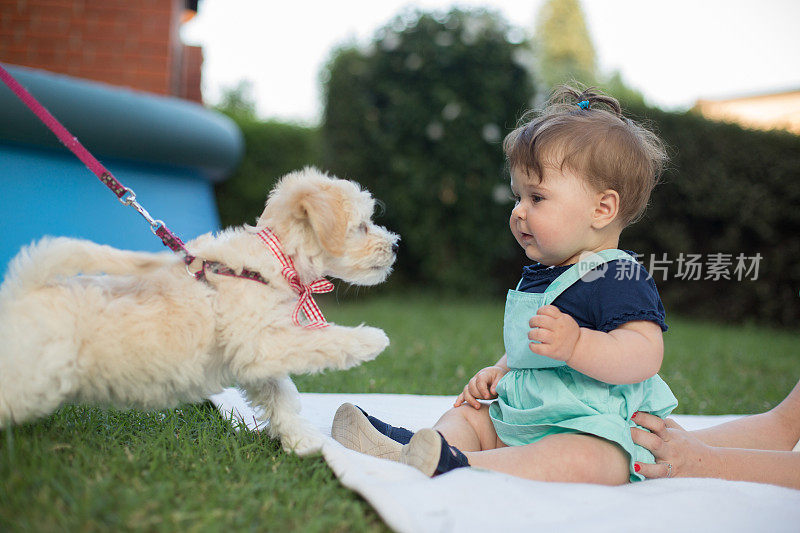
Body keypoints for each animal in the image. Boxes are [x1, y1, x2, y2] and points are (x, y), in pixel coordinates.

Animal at [0, 166, 398, 454]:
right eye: (362, 226)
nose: (396, 246)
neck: (275, 260)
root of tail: (21, 290)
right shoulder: (262, 344)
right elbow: (318, 342)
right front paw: (371, 339)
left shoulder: (254, 358)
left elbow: (281, 393)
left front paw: (302, 441)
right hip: (30, 381)